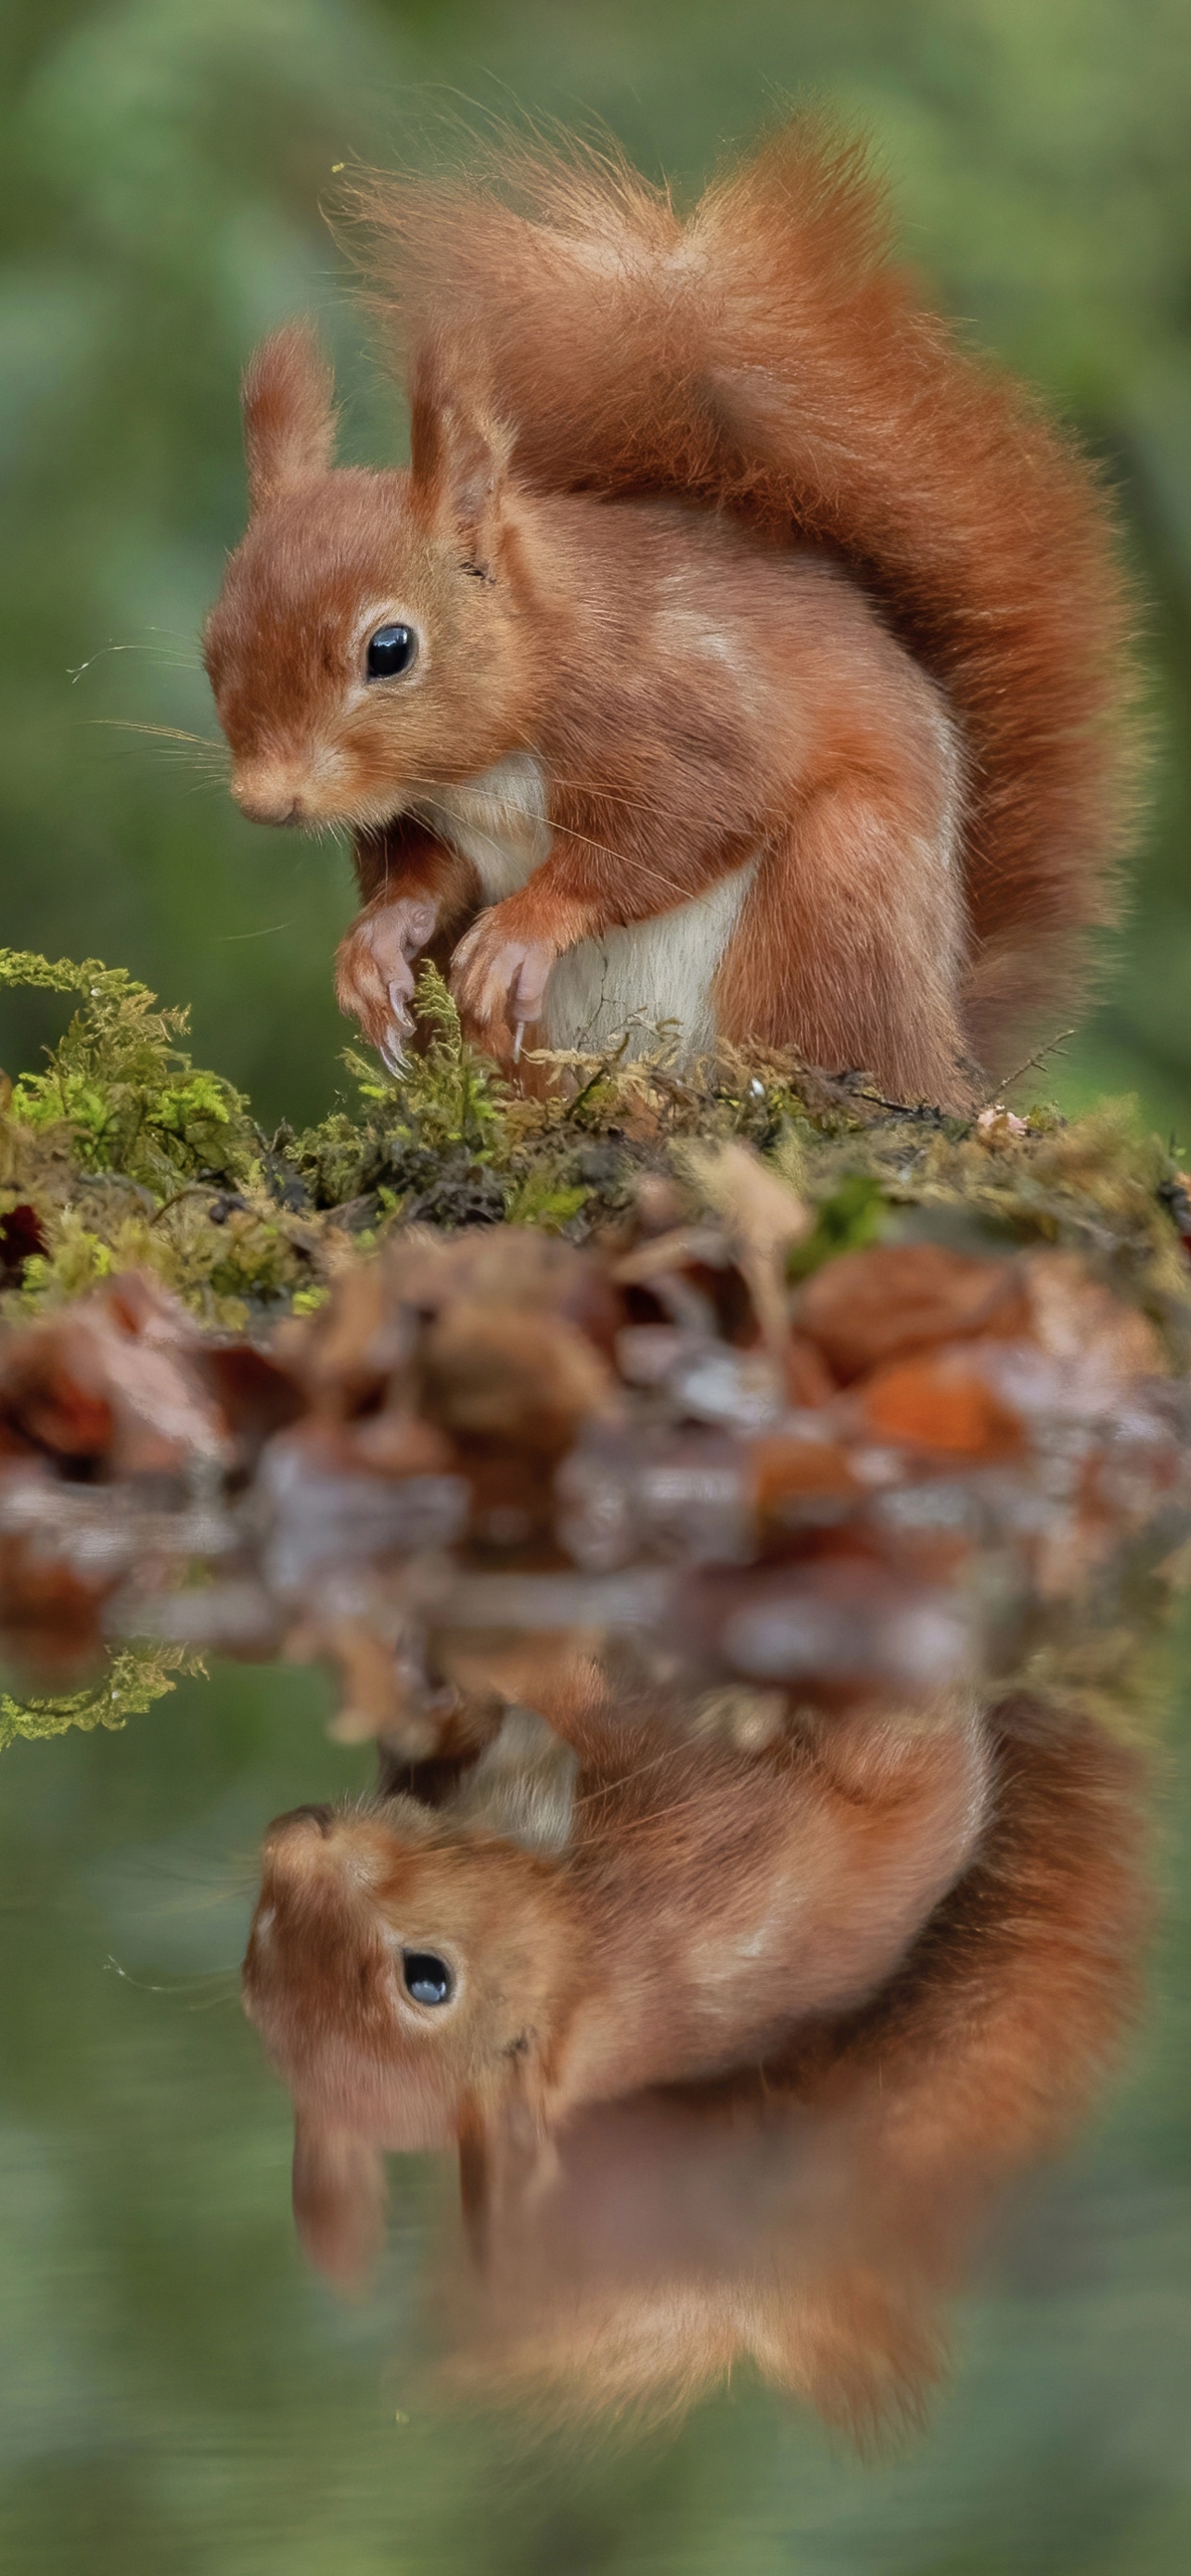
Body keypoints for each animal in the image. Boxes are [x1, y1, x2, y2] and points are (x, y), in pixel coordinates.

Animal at [202, 122, 1133, 1107]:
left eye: (390, 649)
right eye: (210, 648)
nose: (265, 801)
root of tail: (947, 1051)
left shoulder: (687, 699)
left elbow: (678, 825)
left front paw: (527, 929)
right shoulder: (435, 813)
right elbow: (429, 877)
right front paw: (377, 940)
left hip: (839, 897)